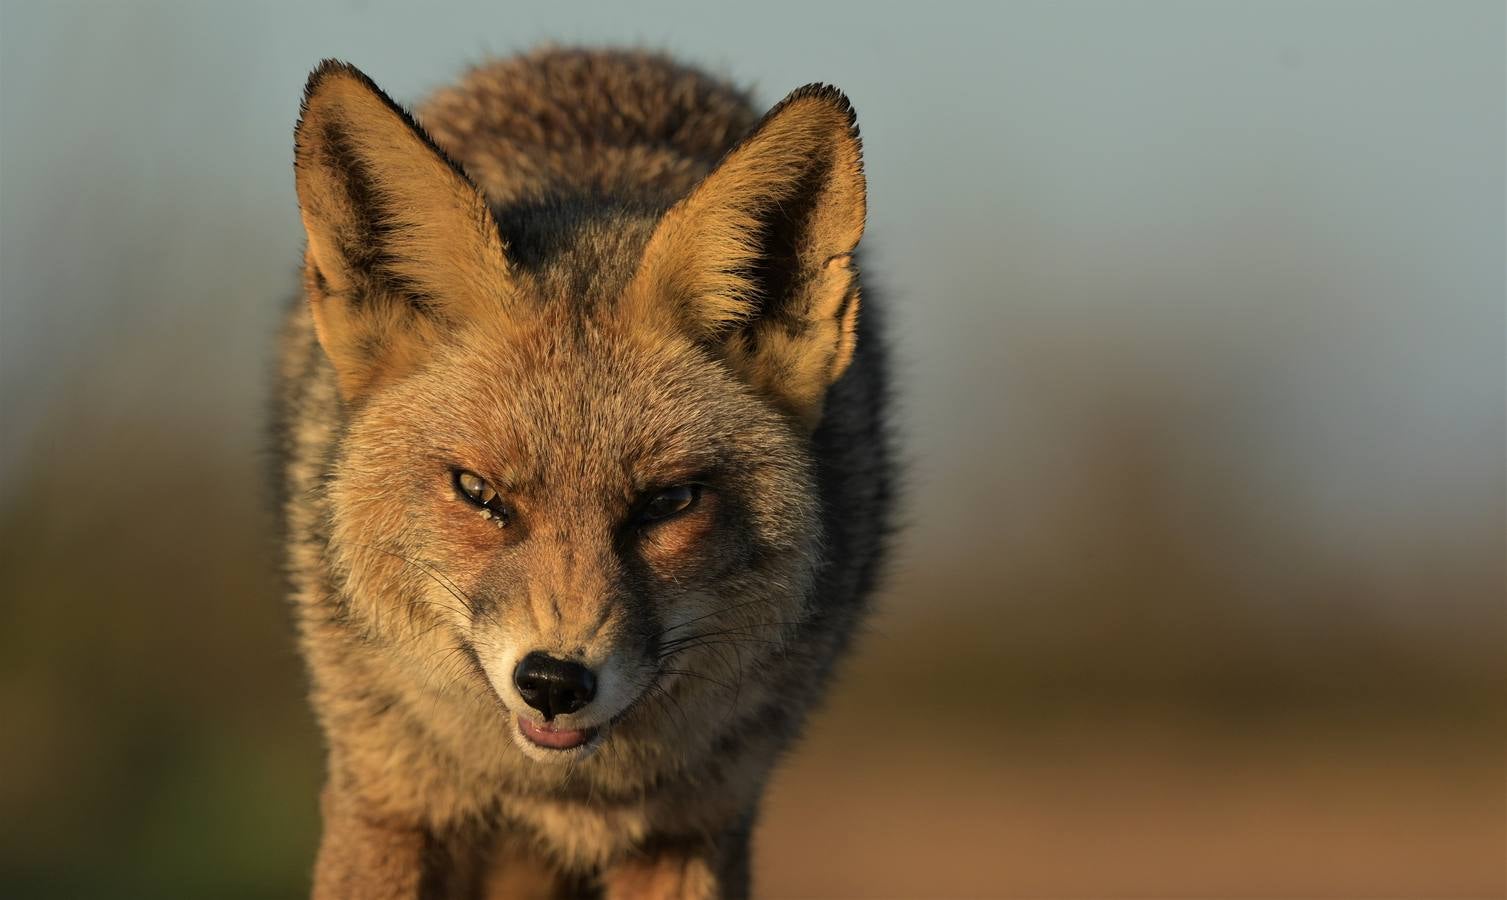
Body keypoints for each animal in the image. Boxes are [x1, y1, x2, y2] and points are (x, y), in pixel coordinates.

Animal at [277, 48, 892, 898]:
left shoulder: (689, 828)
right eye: (479, 494)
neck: (558, 794)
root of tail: (599, 52)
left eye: (667, 502)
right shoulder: (388, 801)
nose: (554, 684)